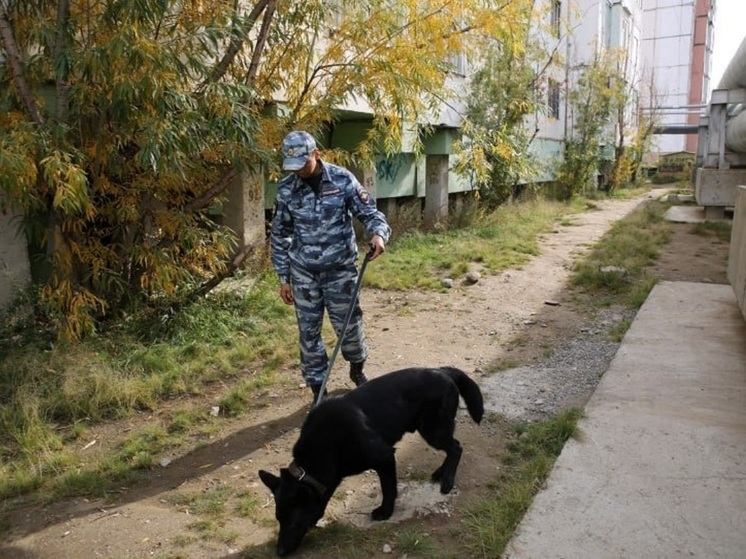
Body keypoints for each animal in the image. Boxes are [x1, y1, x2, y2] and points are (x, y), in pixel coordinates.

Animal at [260, 368, 482, 556]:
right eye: (279, 520)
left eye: (292, 523)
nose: (279, 552)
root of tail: (442, 371)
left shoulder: (384, 458)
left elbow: (388, 488)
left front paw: (385, 511)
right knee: (453, 447)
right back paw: (440, 473)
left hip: (433, 431)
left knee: (456, 448)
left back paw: (448, 480)